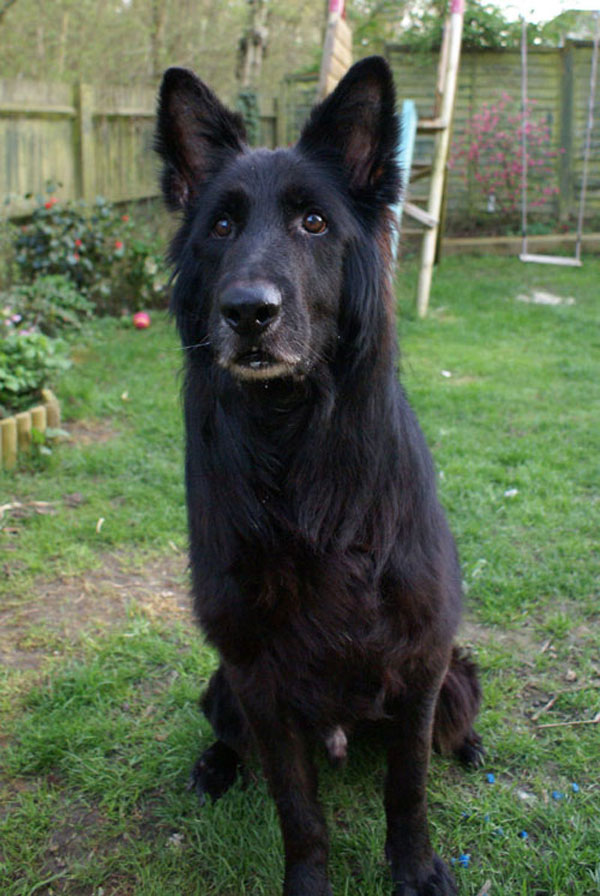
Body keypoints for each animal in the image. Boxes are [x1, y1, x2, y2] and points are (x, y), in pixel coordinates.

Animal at [156, 56, 482, 896]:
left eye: (313, 224)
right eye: (222, 227)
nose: (248, 312)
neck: (293, 438)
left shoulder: (421, 660)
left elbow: (406, 786)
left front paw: (416, 870)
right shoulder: (255, 674)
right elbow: (298, 812)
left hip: (458, 677)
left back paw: (468, 746)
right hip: (222, 687)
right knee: (230, 737)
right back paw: (213, 767)